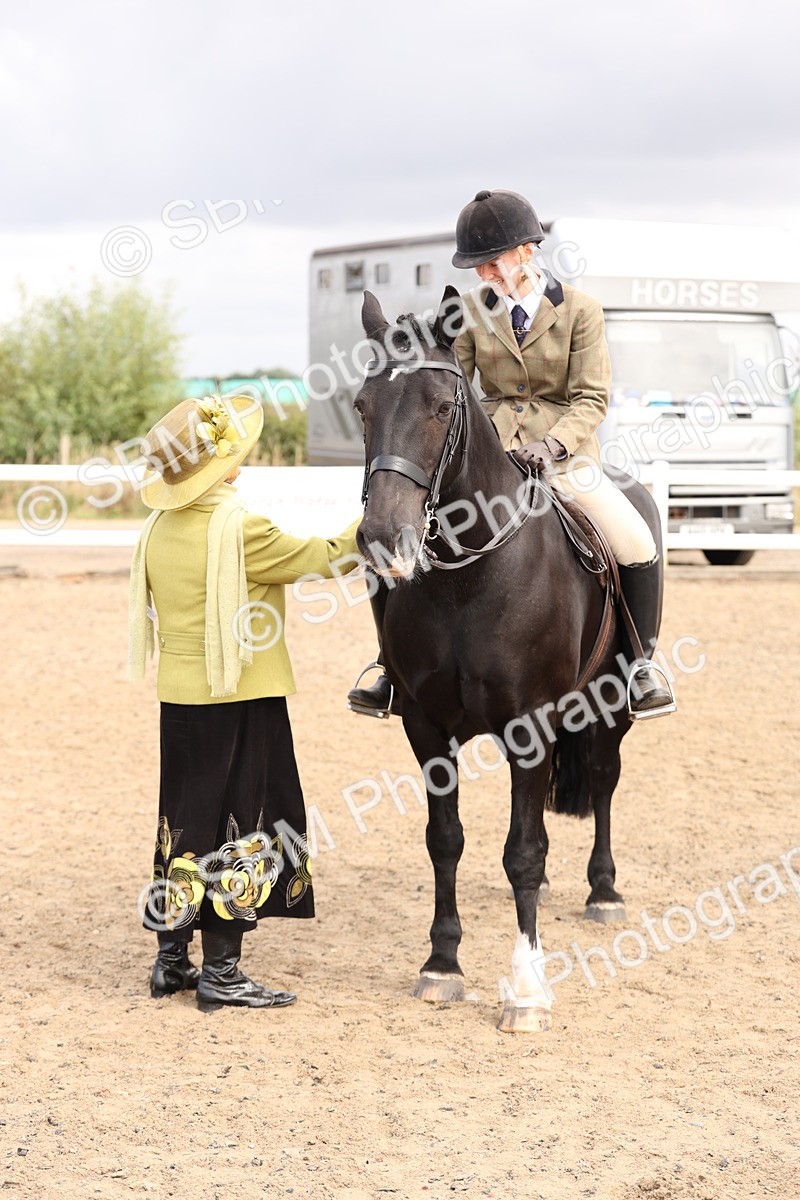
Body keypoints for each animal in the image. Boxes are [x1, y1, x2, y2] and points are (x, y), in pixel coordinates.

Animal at [353, 286, 664, 1032]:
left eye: (442, 406)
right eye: (362, 406)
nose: (382, 538)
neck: (469, 576)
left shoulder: (530, 727)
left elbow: (522, 851)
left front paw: (526, 990)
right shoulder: (427, 727)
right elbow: (446, 840)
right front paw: (442, 964)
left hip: (610, 703)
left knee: (603, 780)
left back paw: (603, 892)